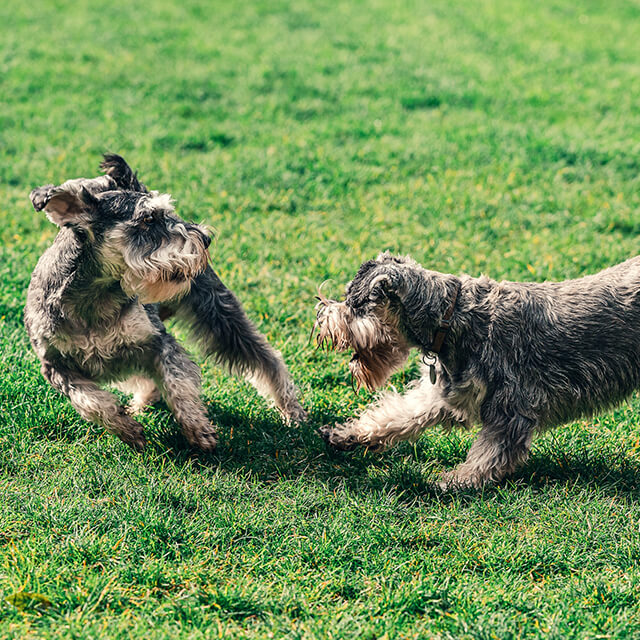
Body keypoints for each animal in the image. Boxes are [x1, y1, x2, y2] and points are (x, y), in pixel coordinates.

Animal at [28, 156, 308, 450]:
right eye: (148, 218)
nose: (205, 238)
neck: (93, 299)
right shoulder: (56, 367)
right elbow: (91, 402)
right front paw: (128, 429)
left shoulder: (158, 342)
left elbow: (177, 383)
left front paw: (198, 429)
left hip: (219, 313)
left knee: (267, 359)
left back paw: (292, 410)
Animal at [316, 252, 640, 488]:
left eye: (353, 304)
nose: (320, 315)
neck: (451, 316)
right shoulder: (445, 393)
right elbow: (396, 415)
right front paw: (348, 435)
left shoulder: (510, 407)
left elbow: (490, 452)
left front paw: (457, 480)